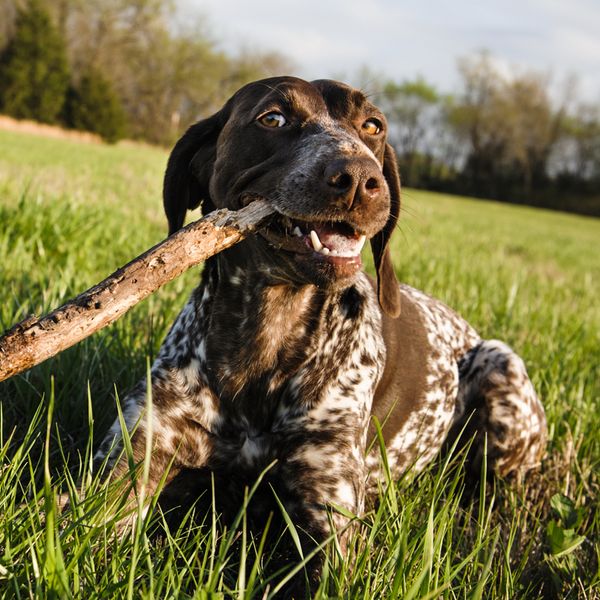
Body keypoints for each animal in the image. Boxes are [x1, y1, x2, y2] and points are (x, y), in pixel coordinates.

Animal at [97, 77, 548, 592]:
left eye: (373, 126)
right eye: (273, 118)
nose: (358, 178)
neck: (266, 336)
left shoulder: (328, 515)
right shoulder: (131, 460)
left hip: (501, 367)